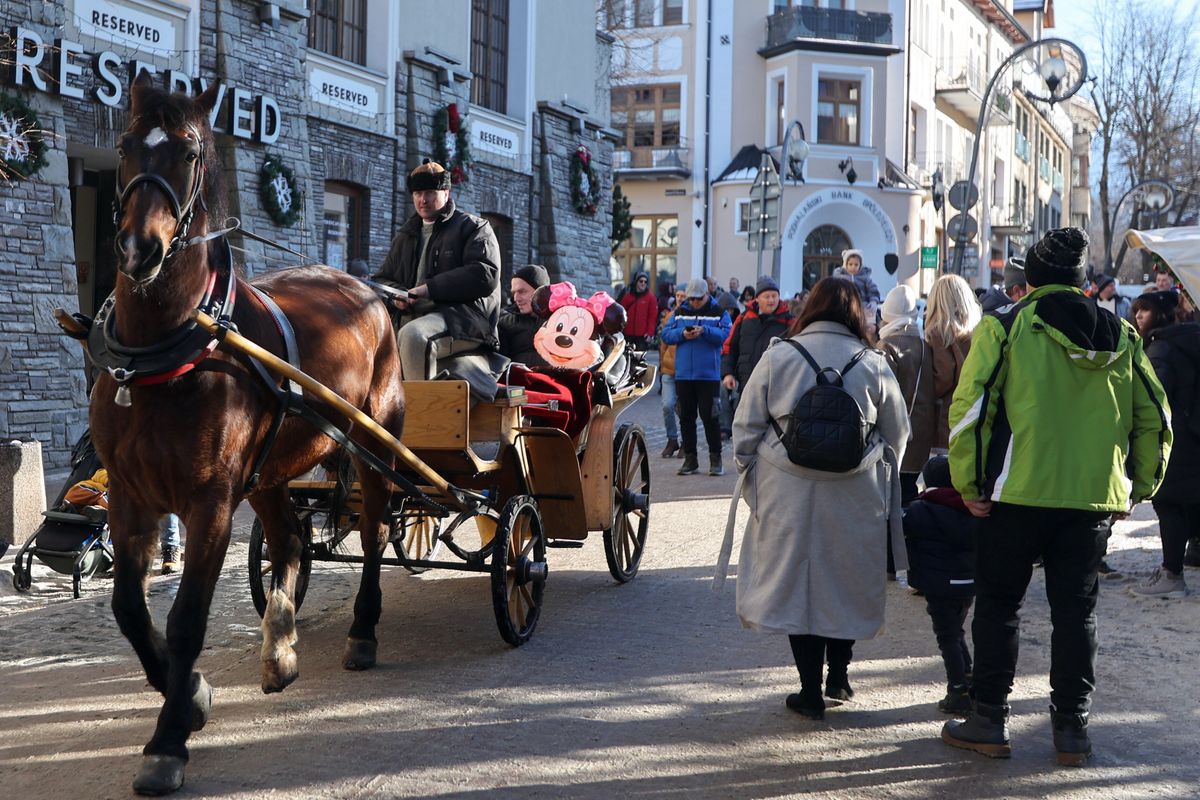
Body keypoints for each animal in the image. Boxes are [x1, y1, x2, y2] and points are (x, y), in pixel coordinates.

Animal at [88, 79, 405, 796]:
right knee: (288, 541)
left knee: (374, 533)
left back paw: (364, 630)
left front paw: (169, 739)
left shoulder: (208, 503)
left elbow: (185, 621)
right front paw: (192, 697)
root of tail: (367, 288)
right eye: (125, 144)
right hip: (269, 473)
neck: (166, 354)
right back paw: (280, 641)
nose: (139, 250)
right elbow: (127, 609)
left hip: (375, 443)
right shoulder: (129, 496)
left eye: (190, 151)